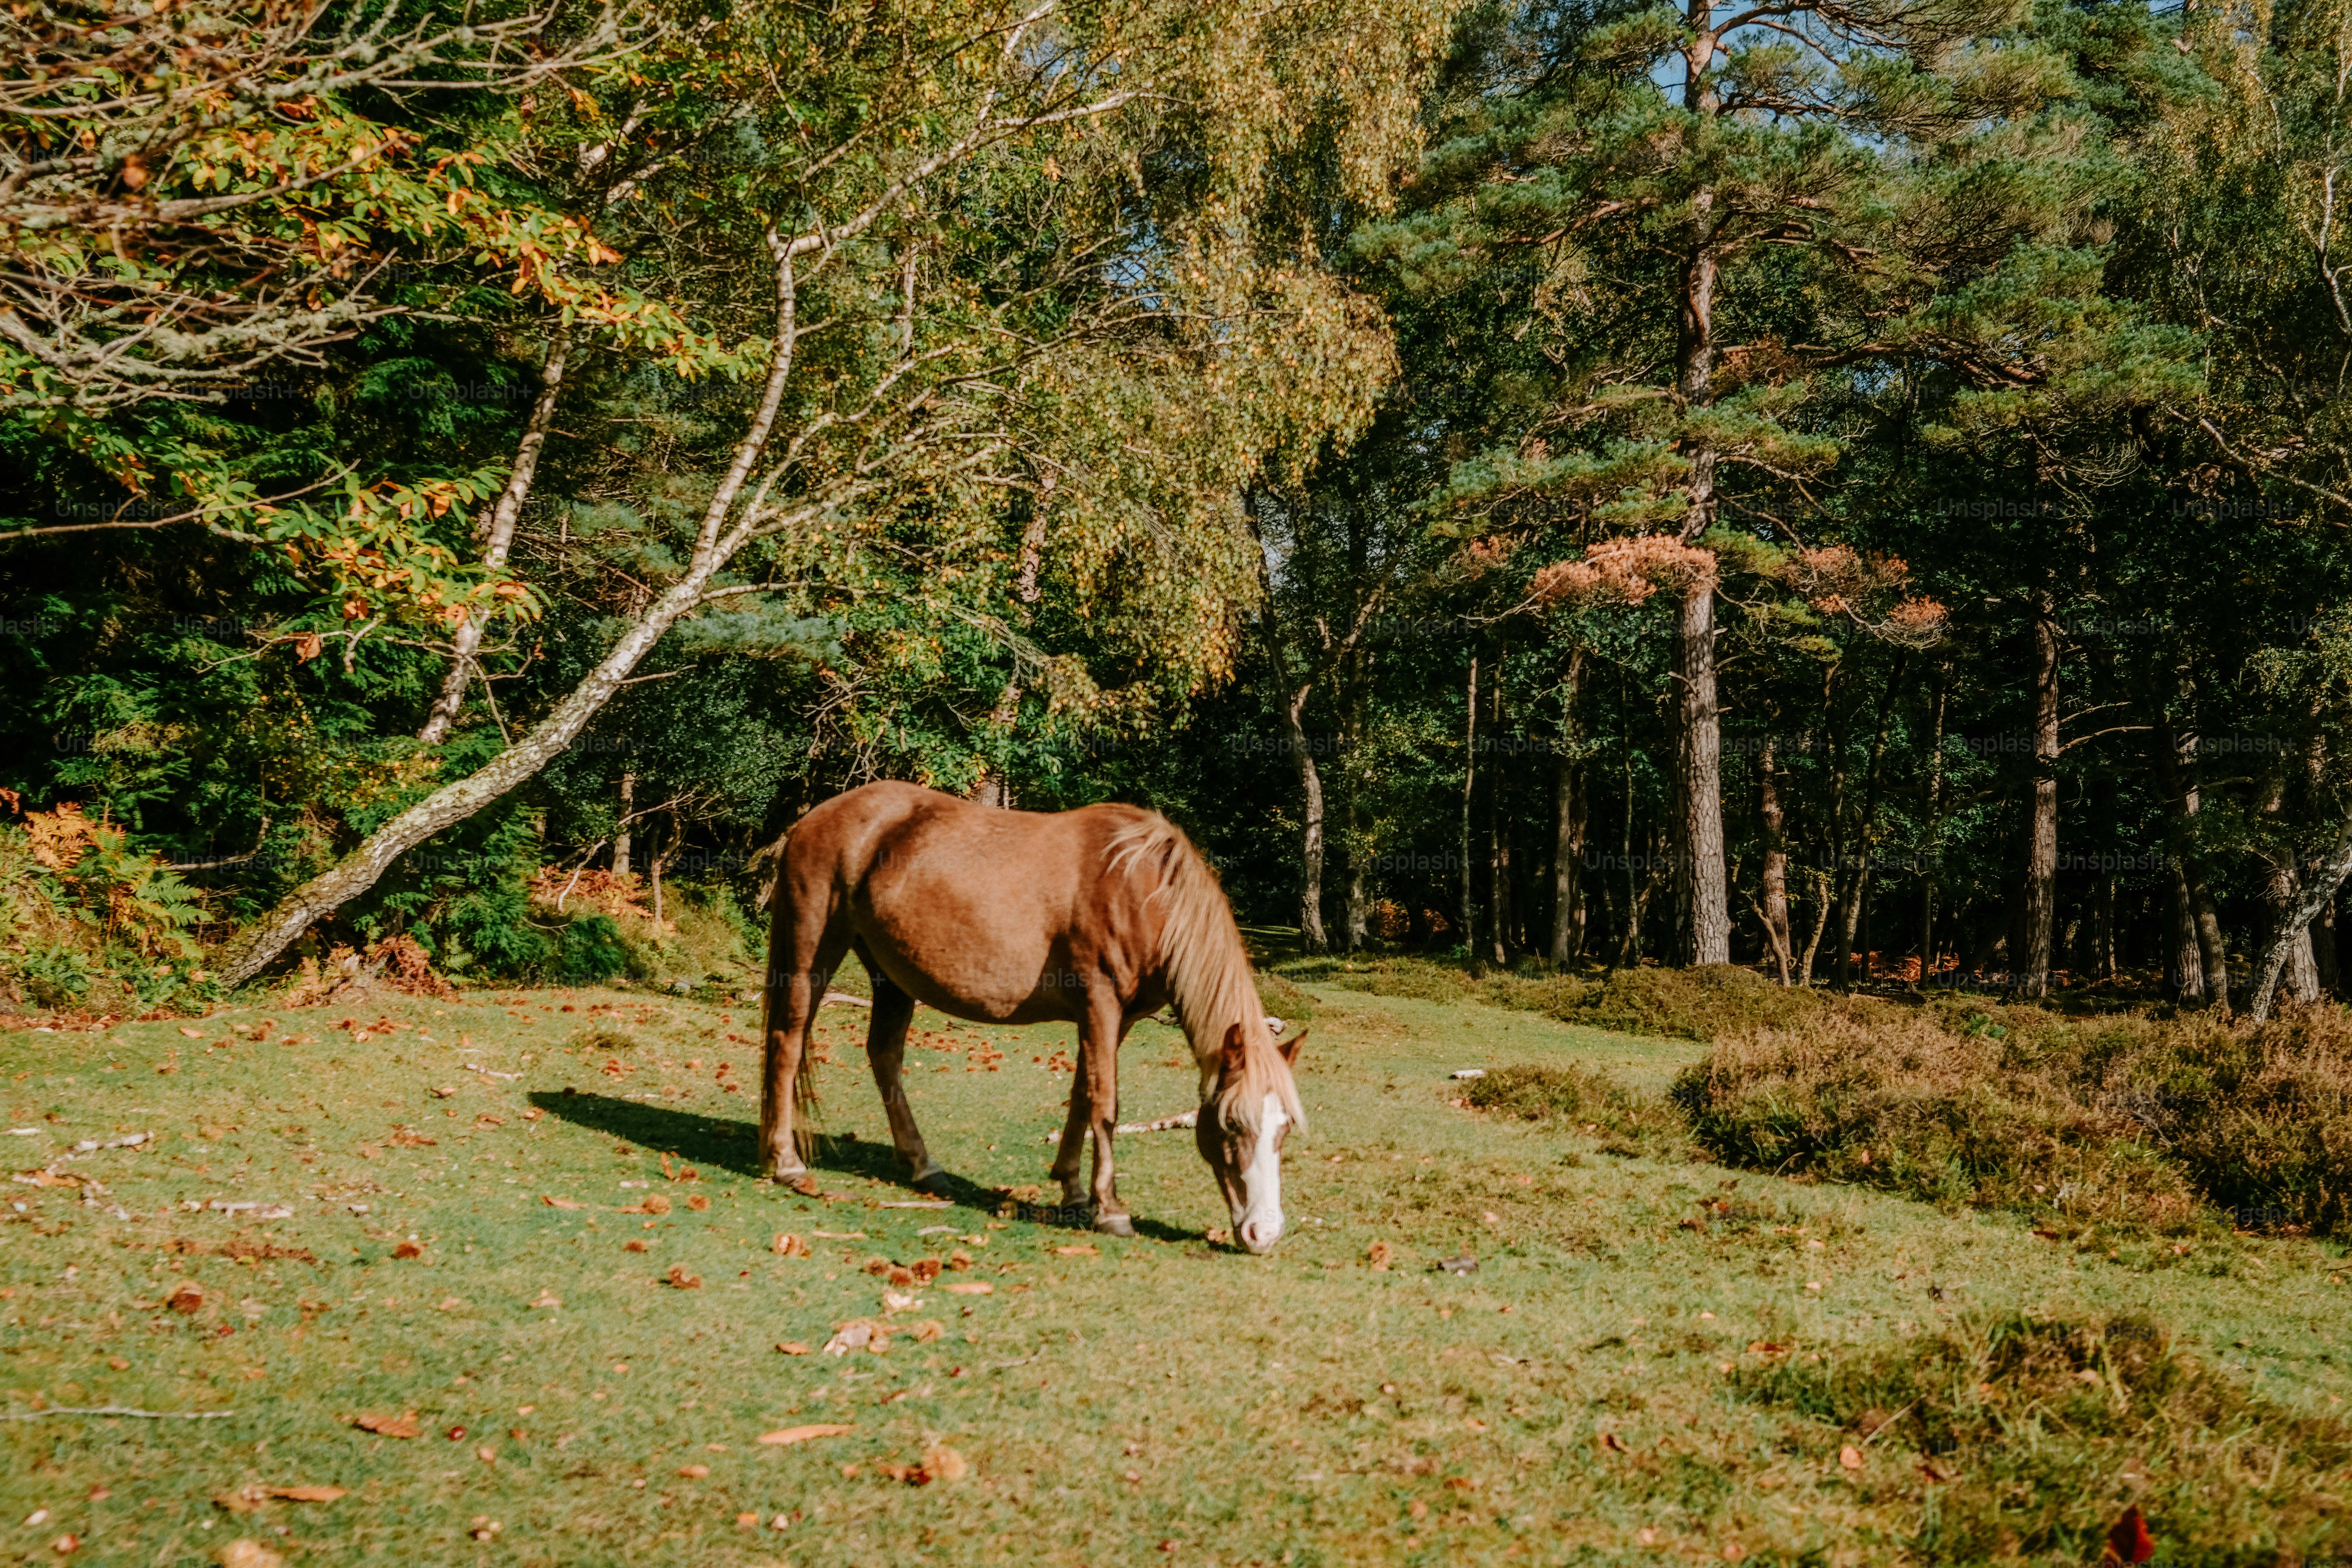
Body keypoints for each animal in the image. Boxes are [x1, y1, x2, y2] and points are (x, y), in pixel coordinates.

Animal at [758, 780, 1307, 1253]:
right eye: (1232, 1125)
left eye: (1283, 1129)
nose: (1264, 1233)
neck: (1140, 889)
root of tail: (813, 819)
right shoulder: (1100, 1004)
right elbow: (1105, 1103)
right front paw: (1111, 1210)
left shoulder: (1116, 1019)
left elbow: (1083, 1095)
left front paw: (1074, 1191)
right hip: (813, 950)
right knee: (789, 1040)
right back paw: (787, 1163)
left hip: (890, 975)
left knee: (884, 1056)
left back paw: (923, 1165)